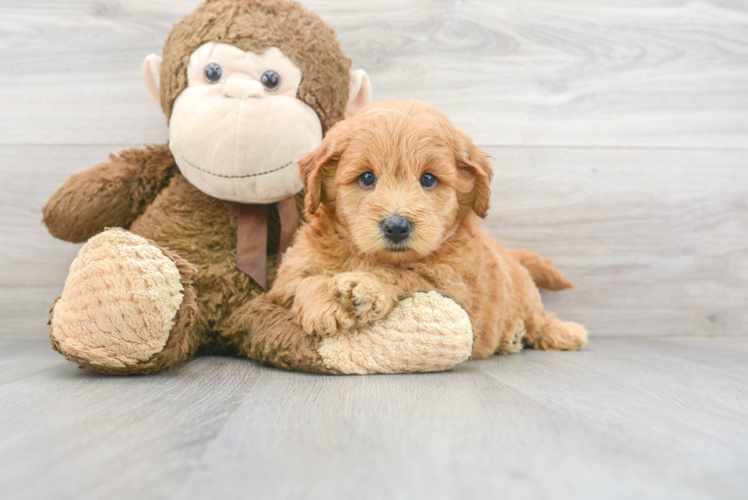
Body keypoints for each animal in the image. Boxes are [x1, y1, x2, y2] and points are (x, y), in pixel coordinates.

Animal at [270, 99, 592, 358]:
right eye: (366, 178)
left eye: (427, 179)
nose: (396, 227)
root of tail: (508, 252)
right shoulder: (287, 276)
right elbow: (303, 281)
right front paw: (324, 305)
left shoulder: (452, 286)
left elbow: (400, 273)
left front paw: (366, 286)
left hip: (526, 297)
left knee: (539, 318)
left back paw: (561, 333)